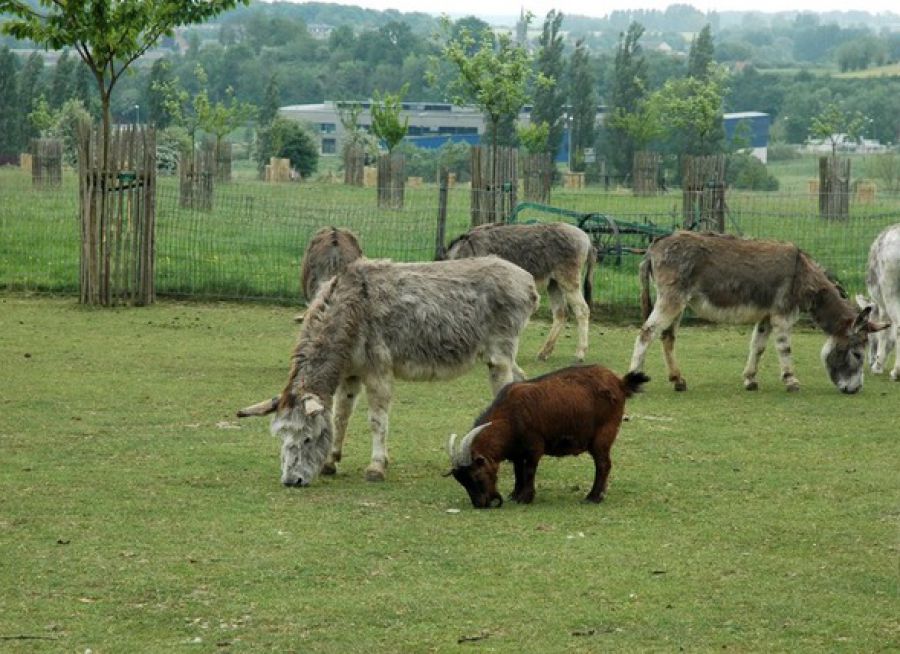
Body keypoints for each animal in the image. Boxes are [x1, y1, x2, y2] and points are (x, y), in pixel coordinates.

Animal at [448, 366, 648, 510]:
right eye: (461, 481)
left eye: (477, 477)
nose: (482, 504)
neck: (510, 416)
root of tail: (620, 382)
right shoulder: (517, 452)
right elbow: (518, 470)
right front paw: (515, 494)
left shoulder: (534, 447)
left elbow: (529, 471)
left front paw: (525, 498)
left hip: (602, 437)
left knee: (603, 465)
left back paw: (592, 497)